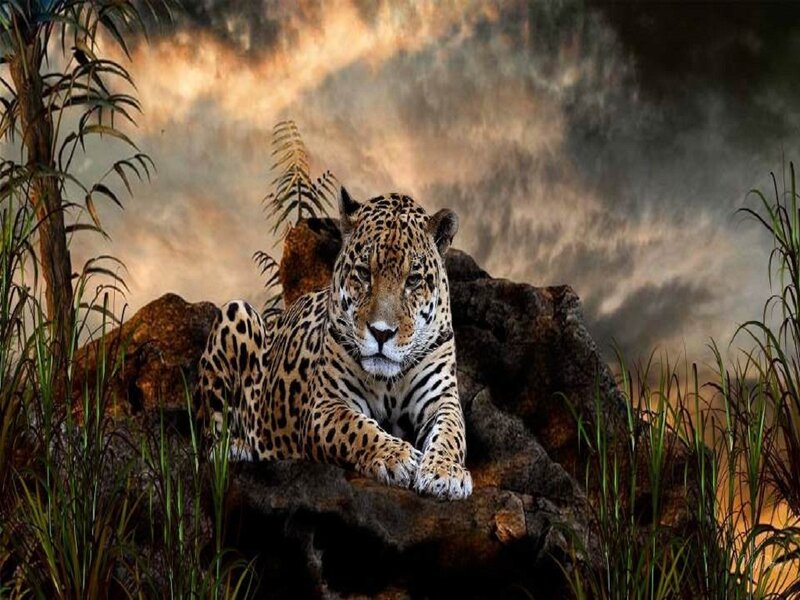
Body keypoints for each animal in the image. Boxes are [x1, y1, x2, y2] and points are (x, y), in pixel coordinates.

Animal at [195, 188, 472, 500]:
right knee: (211, 441)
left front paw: (445, 472)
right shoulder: (326, 406)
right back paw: (239, 448)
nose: (381, 333)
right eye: (363, 272)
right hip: (236, 312)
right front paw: (397, 457)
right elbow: (358, 428)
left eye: (413, 280)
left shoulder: (441, 400)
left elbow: (451, 433)